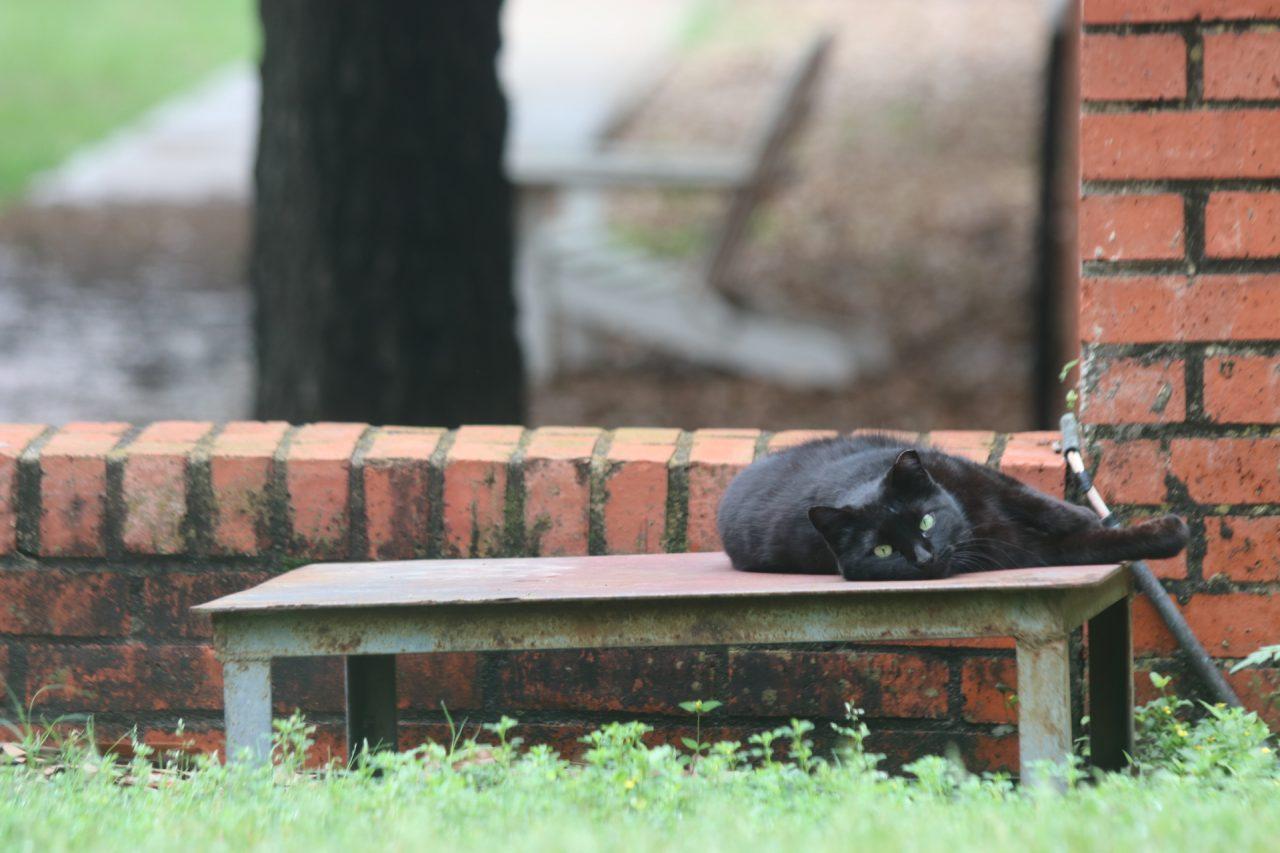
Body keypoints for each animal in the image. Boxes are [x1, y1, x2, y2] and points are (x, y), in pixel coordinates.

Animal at [716, 435, 1182, 581]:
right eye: (882, 551)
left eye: (926, 520)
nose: (924, 557)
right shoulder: (1026, 551)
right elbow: (1089, 545)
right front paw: (1169, 533)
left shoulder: (973, 474)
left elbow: (1035, 499)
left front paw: (1084, 514)